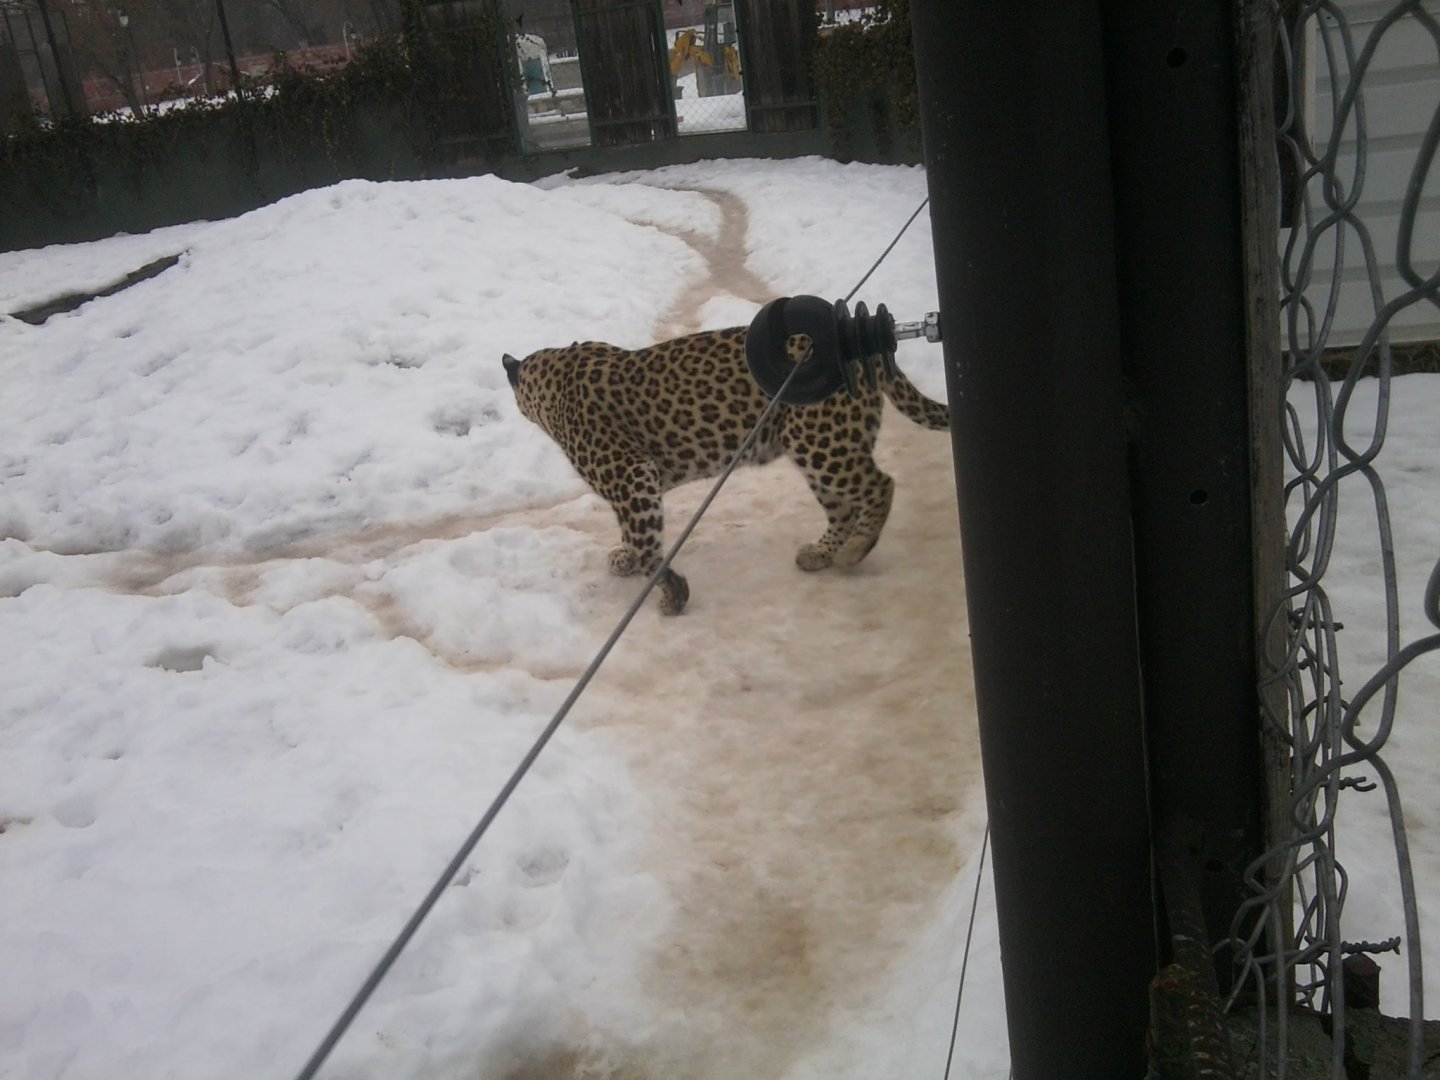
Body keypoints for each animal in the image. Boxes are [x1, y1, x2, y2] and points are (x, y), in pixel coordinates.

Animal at [501, 325, 949, 615]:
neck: (556, 374)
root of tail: (862, 343)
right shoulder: (633, 484)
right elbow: (633, 534)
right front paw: (627, 557)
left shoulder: (632, 474)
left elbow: (646, 546)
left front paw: (671, 594)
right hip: (814, 446)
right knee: (843, 507)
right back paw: (822, 553)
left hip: (823, 442)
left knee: (881, 485)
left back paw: (855, 549)